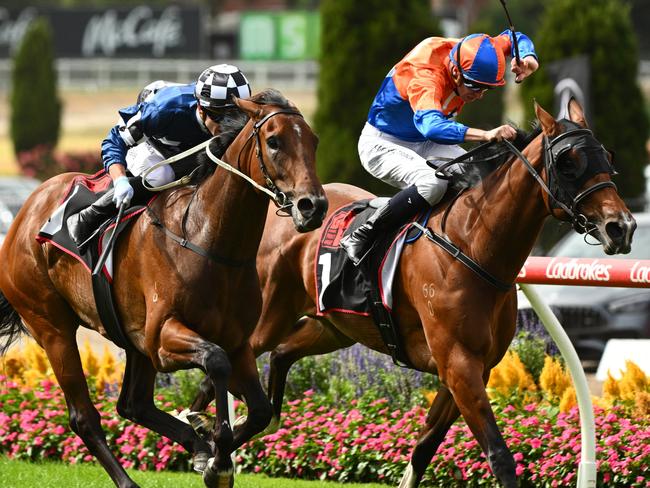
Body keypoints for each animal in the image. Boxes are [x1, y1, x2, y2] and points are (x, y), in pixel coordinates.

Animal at [0, 89, 324, 486]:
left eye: (313, 141)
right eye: (274, 141)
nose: (313, 206)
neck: (207, 240)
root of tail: (27, 210)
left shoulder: (237, 342)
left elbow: (261, 412)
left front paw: (213, 455)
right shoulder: (163, 339)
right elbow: (215, 362)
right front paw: (216, 454)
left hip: (131, 338)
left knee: (133, 404)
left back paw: (195, 445)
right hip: (52, 327)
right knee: (84, 416)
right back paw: (130, 479)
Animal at [187, 100, 632, 488]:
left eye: (607, 156)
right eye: (568, 162)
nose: (621, 227)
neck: (472, 245)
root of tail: (286, 208)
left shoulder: (471, 369)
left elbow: (424, 447)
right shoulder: (458, 364)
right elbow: (499, 456)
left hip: (333, 326)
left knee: (279, 356)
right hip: (268, 317)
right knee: (237, 357)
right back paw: (202, 432)